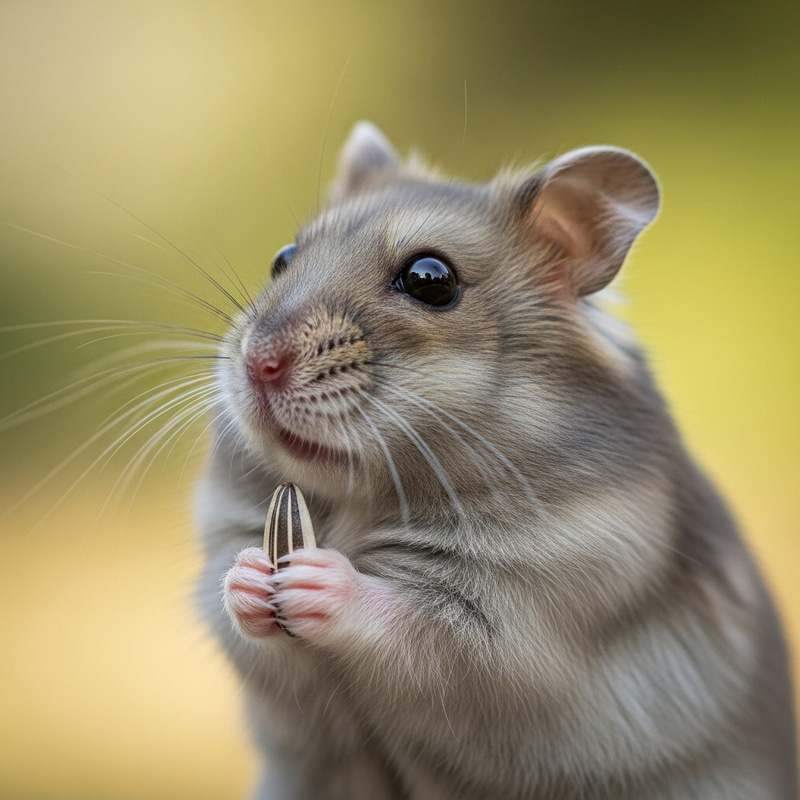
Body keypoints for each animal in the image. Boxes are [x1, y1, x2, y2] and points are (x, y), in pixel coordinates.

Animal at [195, 122, 798, 799]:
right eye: (283, 258)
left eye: (430, 279)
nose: (259, 364)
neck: (360, 499)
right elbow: (244, 616)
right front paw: (251, 574)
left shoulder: (526, 628)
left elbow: (417, 631)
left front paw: (316, 576)